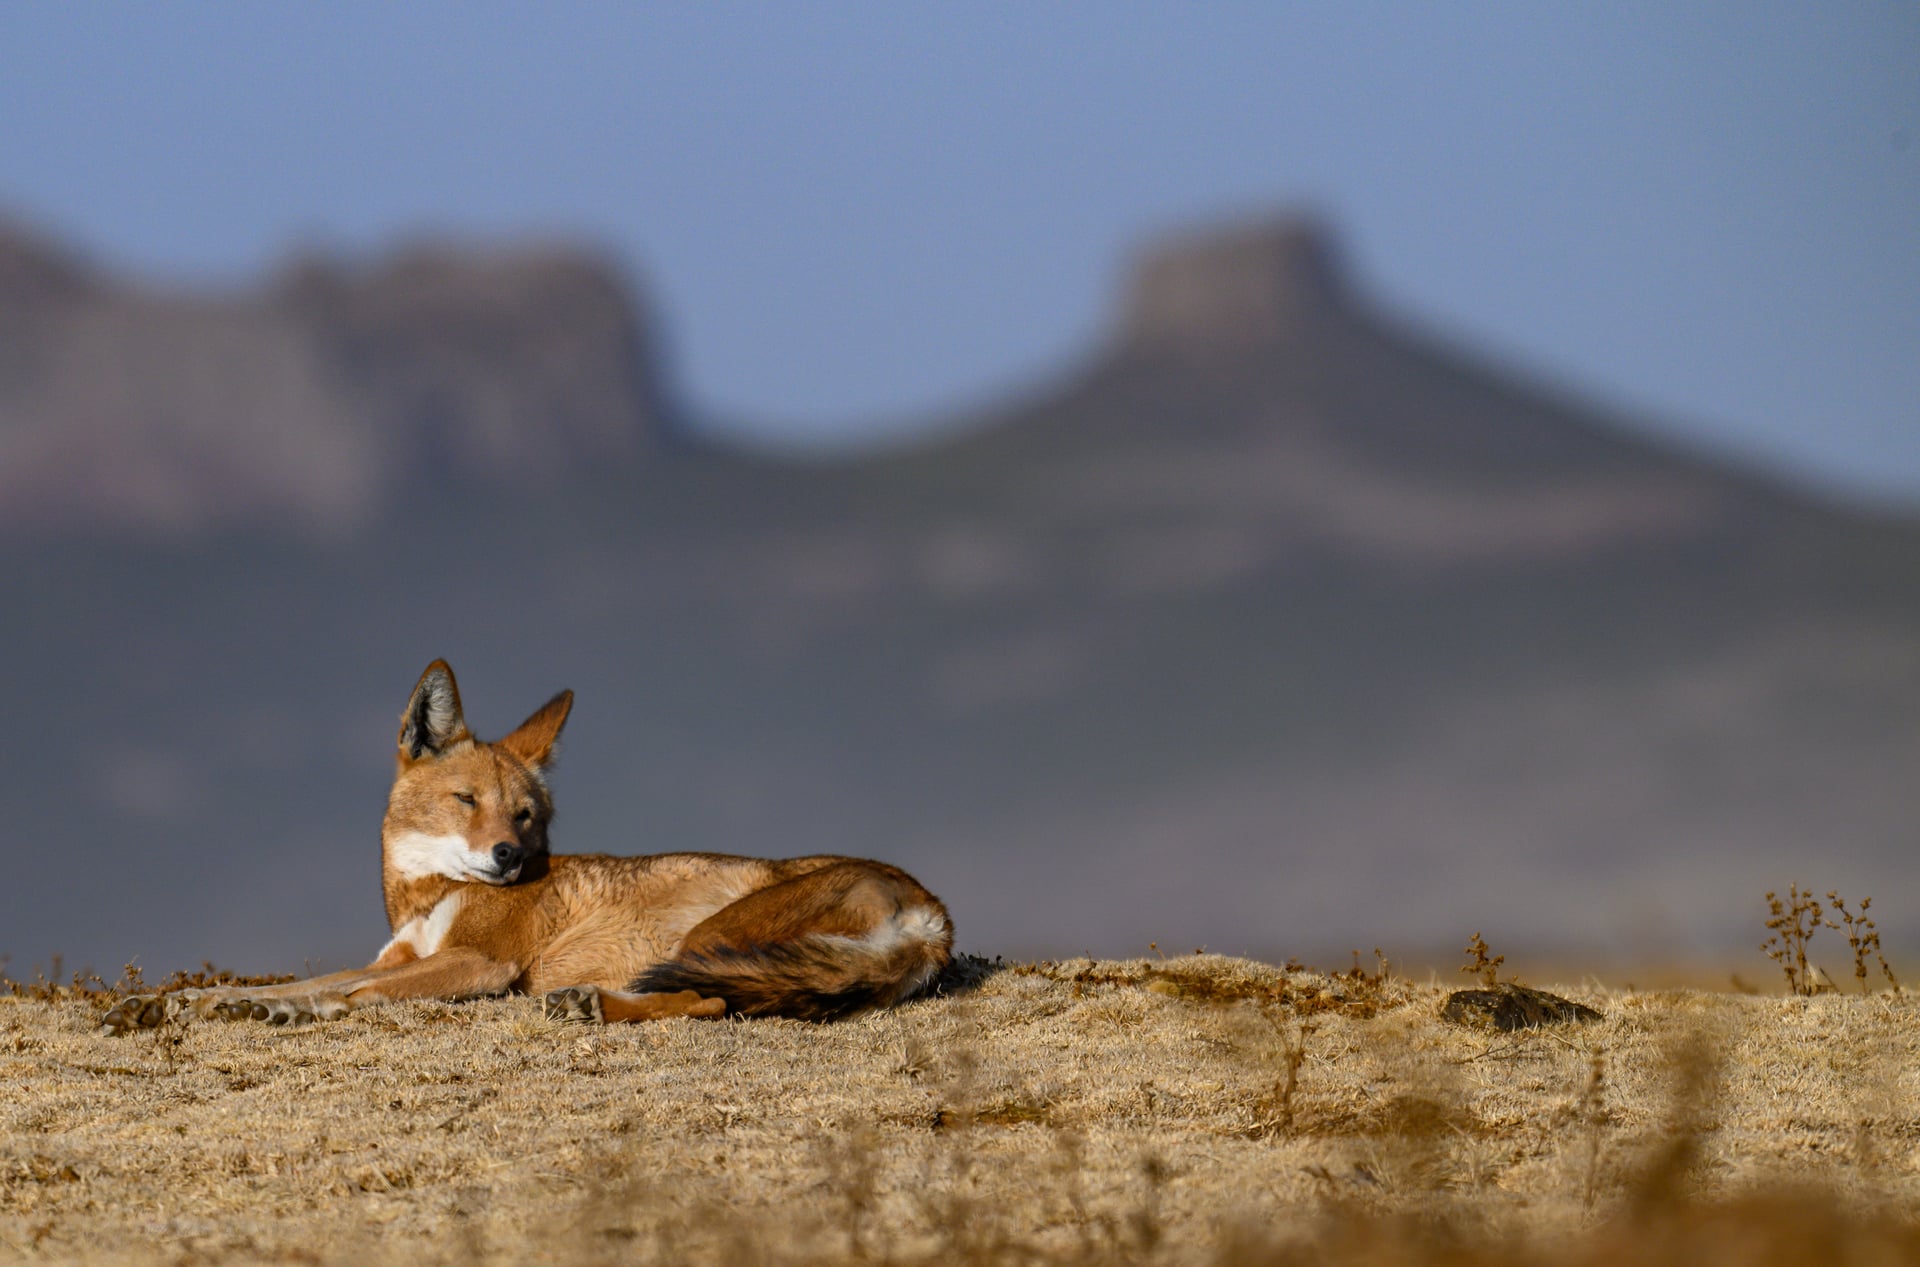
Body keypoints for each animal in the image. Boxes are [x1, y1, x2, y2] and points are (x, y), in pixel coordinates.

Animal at [99, 661, 952, 1034]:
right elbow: (313, 979)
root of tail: (931, 906)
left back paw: (588, 1003)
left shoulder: (480, 963)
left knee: (713, 1001)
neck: (430, 895)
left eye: (527, 814)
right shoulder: (405, 954)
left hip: (711, 937)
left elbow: (352, 992)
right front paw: (191, 1001)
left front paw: (279, 1009)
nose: (509, 856)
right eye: (467, 801)